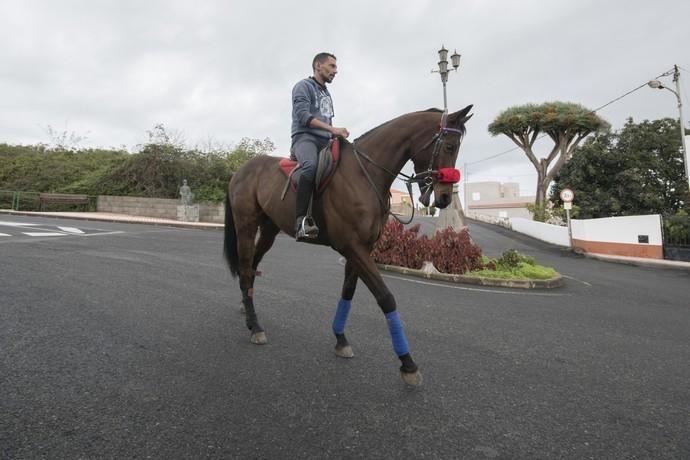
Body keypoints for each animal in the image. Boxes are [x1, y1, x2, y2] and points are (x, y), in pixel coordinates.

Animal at [223, 105, 470, 384]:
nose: (445, 197)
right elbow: (386, 298)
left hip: (269, 230)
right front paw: (407, 363)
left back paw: (246, 309)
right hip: (246, 226)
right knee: (245, 269)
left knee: (252, 266)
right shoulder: (352, 247)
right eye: (449, 146)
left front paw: (341, 339)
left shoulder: (362, 248)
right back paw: (255, 327)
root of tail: (240, 171)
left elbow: (348, 292)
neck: (365, 173)